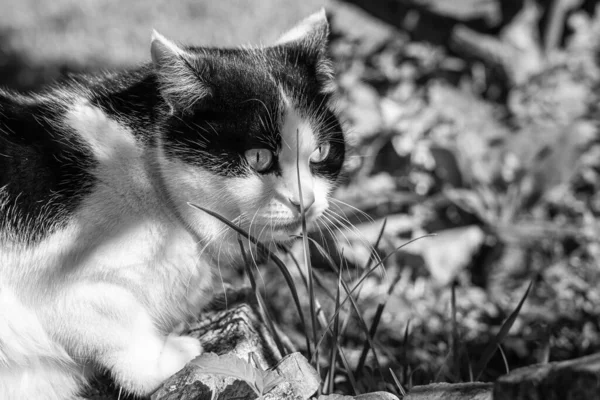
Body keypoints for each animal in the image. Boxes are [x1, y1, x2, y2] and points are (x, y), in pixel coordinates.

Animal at [0, 10, 344, 400]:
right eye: (258, 157)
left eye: (321, 152)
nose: (305, 201)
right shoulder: (55, 280)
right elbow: (114, 317)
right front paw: (164, 359)